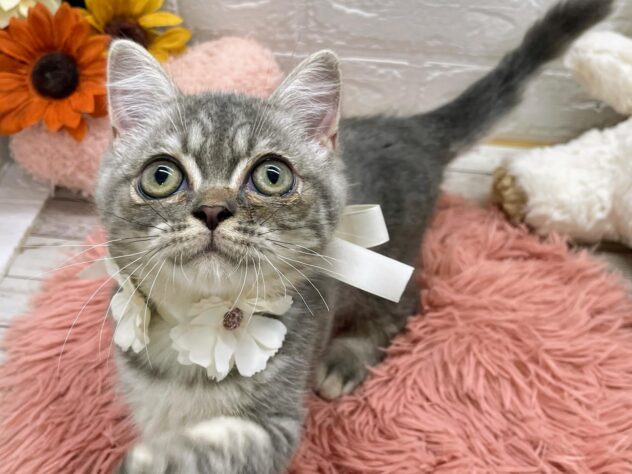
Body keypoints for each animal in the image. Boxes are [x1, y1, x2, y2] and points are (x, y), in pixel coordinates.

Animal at [96, 1, 613, 472]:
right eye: (161, 176)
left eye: (271, 176)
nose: (212, 209)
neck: (192, 328)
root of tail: (410, 129)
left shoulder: (277, 422)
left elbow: (223, 447)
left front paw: (158, 458)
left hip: (398, 259)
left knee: (407, 303)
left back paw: (345, 358)